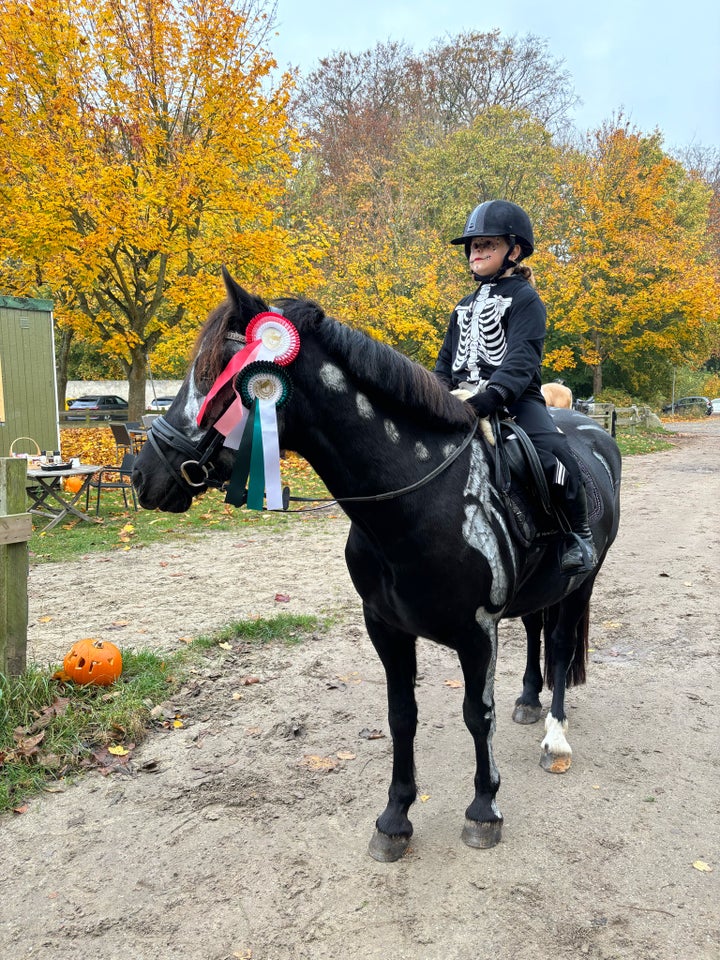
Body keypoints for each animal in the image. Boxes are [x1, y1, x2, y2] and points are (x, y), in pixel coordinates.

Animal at [134, 270, 620, 864]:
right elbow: (401, 716)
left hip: (580, 584)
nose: (143, 474)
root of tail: (593, 434)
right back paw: (528, 701)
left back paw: (555, 737)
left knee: (561, 649)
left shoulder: (477, 630)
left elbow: (476, 714)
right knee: (534, 631)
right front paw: (395, 818)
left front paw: (484, 809)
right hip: (539, 592)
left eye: (216, 377)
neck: (420, 497)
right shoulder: (385, 627)